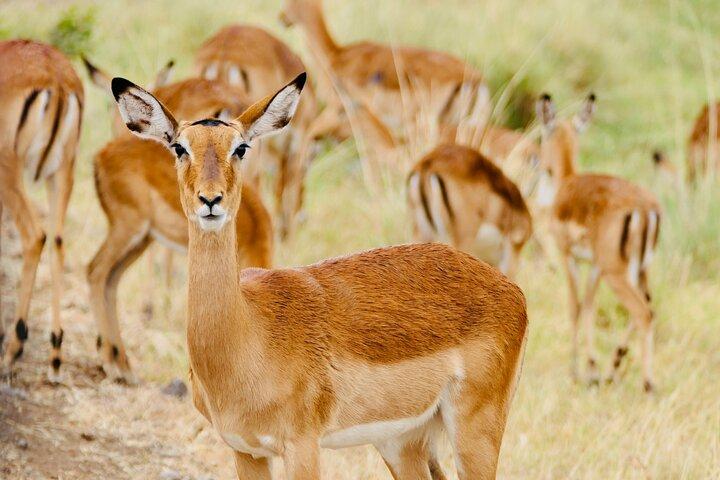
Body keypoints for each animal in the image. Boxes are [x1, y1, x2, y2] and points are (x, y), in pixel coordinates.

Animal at [88, 76, 272, 382]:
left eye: (240, 148)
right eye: (180, 148)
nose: (210, 200)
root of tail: (101, 155)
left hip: (141, 239)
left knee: (111, 279)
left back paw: (122, 362)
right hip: (127, 229)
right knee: (95, 271)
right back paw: (113, 365)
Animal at [537, 93, 661, 392]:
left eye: (541, 134)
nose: (538, 165)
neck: (566, 182)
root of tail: (647, 208)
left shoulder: (568, 256)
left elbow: (574, 306)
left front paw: (574, 371)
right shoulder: (594, 265)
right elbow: (590, 306)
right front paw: (592, 370)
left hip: (617, 273)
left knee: (643, 313)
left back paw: (647, 383)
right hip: (639, 271)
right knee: (649, 307)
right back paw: (613, 370)